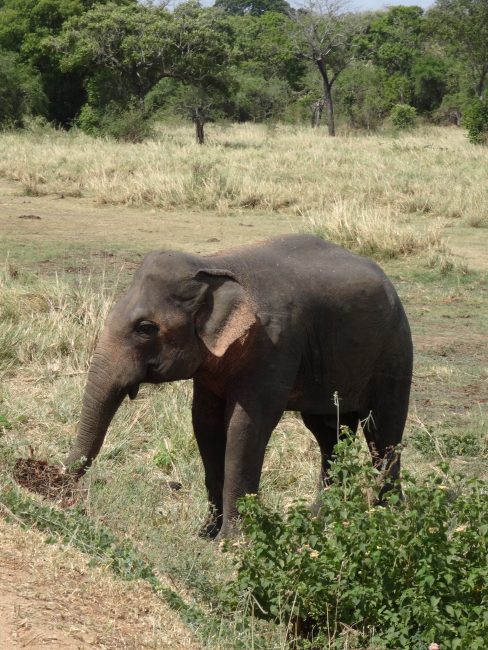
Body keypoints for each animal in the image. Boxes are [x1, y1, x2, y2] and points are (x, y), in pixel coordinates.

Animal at [65, 234, 413, 539]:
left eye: (146, 328)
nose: (63, 498)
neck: (213, 265)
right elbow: (205, 425)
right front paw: (205, 534)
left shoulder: (274, 347)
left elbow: (245, 427)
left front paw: (231, 543)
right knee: (330, 433)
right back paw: (319, 518)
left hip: (395, 353)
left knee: (384, 432)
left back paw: (387, 518)